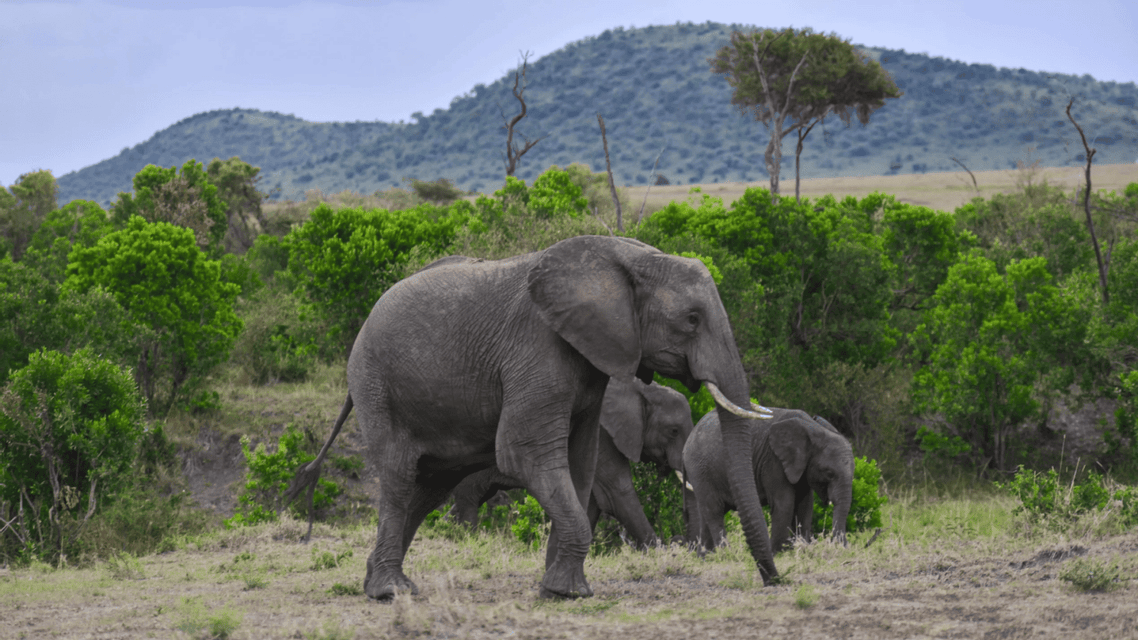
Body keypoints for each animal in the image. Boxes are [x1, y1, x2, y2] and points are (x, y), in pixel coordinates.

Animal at [449, 376, 694, 549]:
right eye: (673, 431)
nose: (680, 540)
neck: (642, 389)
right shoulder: (601, 431)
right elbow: (616, 490)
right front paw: (658, 550)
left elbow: (594, 500)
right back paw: (468, 539)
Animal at [682, 408, 854, 554]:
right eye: (829, 473)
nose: (843, 547)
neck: (814, 428)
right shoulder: (773, 461)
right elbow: (784, 503)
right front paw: (779, 553)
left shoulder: (801, 468)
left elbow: (805, 505)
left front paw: (802, 548)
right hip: (700, 468)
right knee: (714, 510)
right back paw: (726, 553)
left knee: (705, 512)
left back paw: (706, 556)